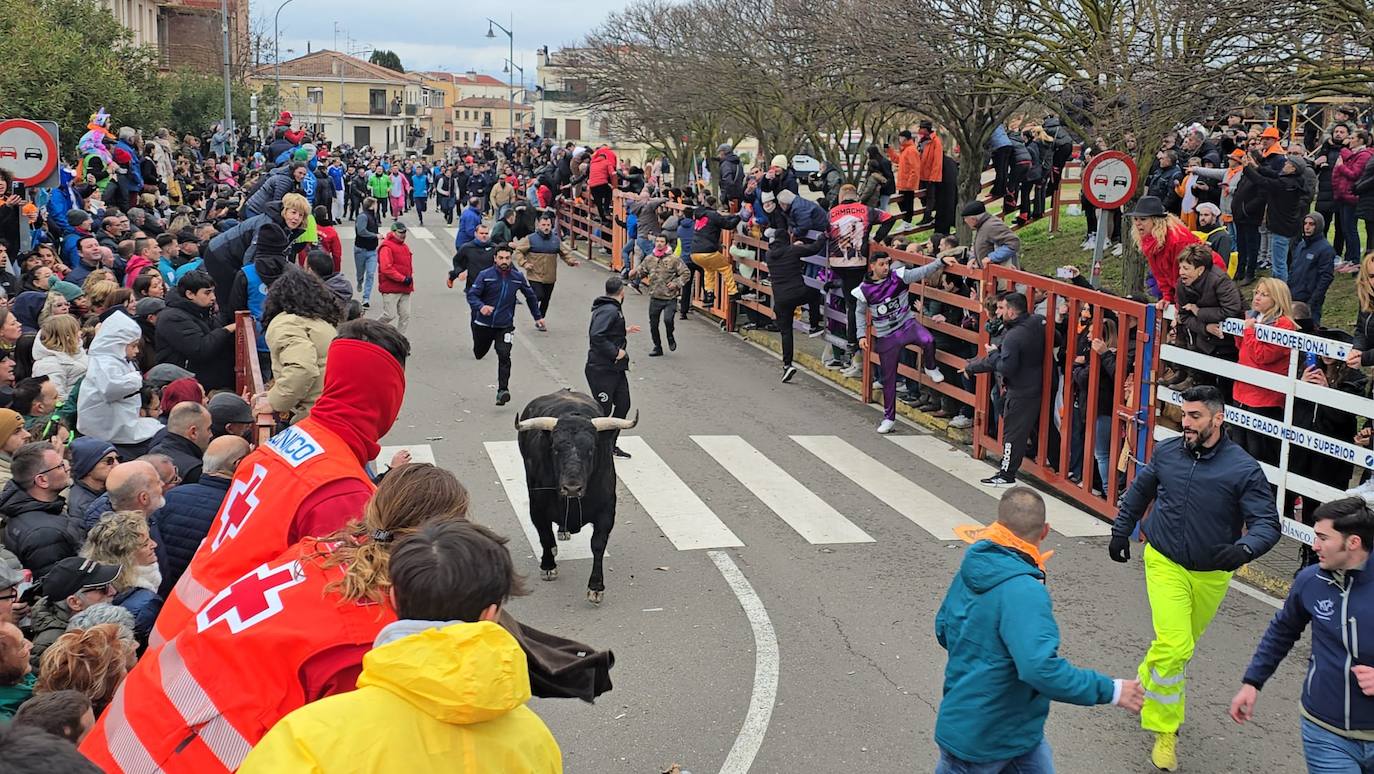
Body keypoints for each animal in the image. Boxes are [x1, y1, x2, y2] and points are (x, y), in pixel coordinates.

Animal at [519, 390, 637, 602]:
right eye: (555, 449)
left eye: (591, 450)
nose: (572, 488)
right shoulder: (537, 508)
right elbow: (545, 536)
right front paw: (548, 566)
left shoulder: (607, 510)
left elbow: (598, 545)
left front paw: (596, 587)